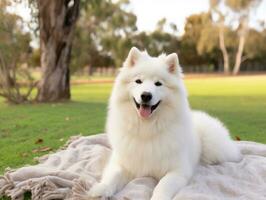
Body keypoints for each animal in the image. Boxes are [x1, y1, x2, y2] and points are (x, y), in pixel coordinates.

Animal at [88, 47, 242, 200]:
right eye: (138, 81)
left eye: (158, 83)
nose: (146, 95)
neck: (147, 128)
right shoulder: (121, 163)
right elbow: (113, 176)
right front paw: (101, 189)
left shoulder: (177, 171)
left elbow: (163, 185)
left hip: (215, 147)